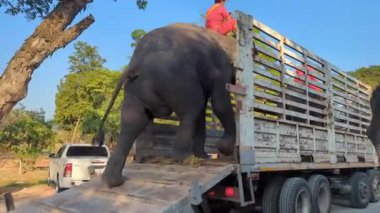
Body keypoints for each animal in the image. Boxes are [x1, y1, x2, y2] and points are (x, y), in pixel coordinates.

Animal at [94, 22, 238, 187]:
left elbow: (204, 109)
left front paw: (204, 155)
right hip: (176, 78)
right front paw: (224, 149)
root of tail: (136, 65)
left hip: (135, 89)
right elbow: (218, 103)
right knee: (191, 110)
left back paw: (113, 181)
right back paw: (183, 157)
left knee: (132, 122)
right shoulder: (221, 69)